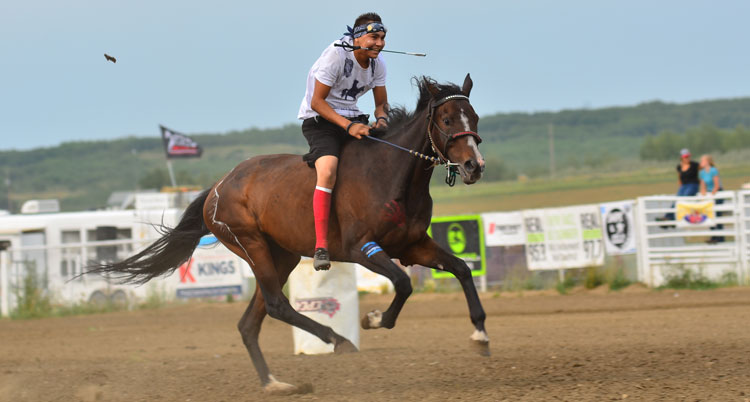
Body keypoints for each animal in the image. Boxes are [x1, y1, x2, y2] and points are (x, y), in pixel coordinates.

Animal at [88, 74, 490, 394]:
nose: (474, 166)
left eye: (474, 117)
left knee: (250, 322)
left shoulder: (413, 246)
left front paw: (480, 336)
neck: (392, 174)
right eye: (447, 118)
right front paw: (374, 319)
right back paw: (336, 340)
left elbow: (462, 269)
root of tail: (218, 186)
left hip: (282, 255)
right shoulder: (362, 248)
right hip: (252, 245)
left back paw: (275, 383)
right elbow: (404, 285)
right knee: (277, 305)